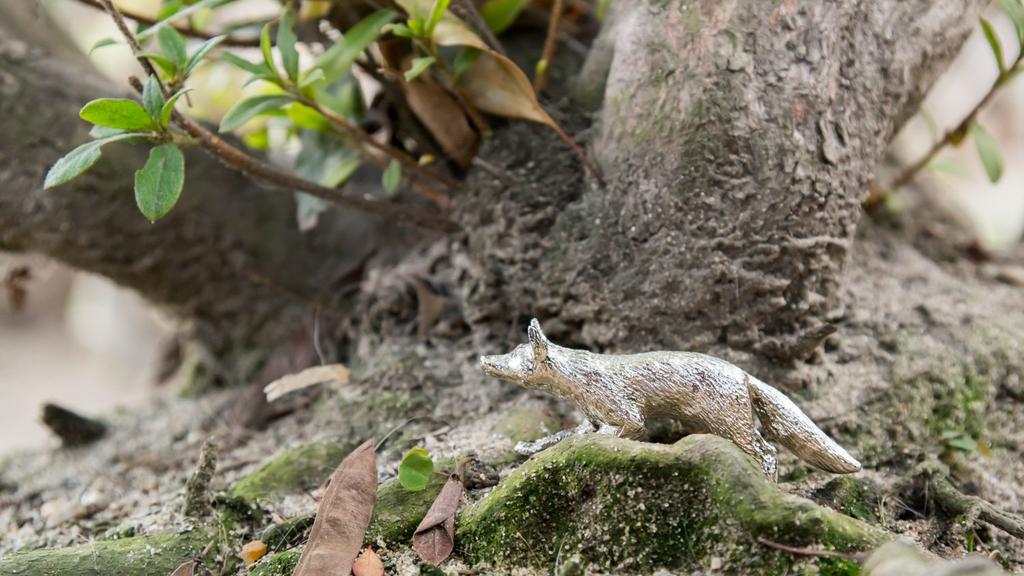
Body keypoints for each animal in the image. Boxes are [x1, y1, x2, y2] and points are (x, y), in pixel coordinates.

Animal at [479, 319, 861, 480]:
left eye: (520, 359)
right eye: (511, 350)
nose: (485, 360)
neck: (581, 378)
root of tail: (745, 376)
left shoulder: (625, 412)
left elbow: (618, 431)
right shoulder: (591, 416)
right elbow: (562, 435)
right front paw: (530, 447)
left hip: (730, 423)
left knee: (766, 450)